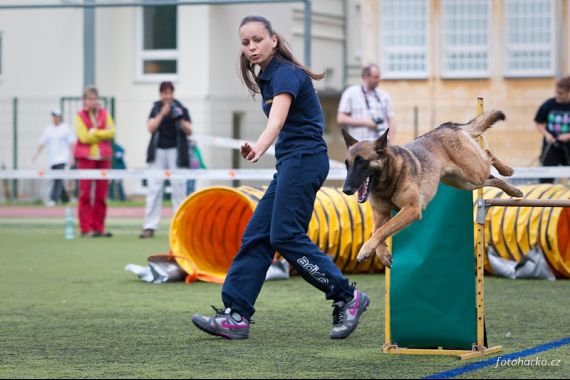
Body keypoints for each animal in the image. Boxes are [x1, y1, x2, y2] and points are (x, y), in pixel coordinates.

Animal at [340, 110, 520, 268]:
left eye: (361, 162)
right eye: (347, 164)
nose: (346, 189)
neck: (389, 180)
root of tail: (446, 126)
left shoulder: (411, 209)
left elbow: (383, 229)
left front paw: (365, 250)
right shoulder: (381, 213)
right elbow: (376, 231)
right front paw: (382, 254)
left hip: (474, 173)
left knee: (488, 154)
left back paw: (507, 171)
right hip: (465, 183)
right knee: (491, 178)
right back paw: (514, 191)